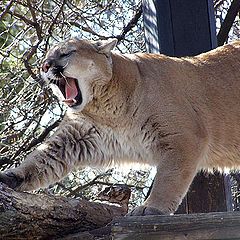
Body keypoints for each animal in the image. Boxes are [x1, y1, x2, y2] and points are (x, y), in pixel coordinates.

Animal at [0, 38, 240, 215]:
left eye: (66, 53)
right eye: (46, 57)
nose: (45, 66)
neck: (106, 108)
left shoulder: (184, 137)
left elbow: (168, 177)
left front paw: (151, 208)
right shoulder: (76, 137)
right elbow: (41, 159)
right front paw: (10, 177)